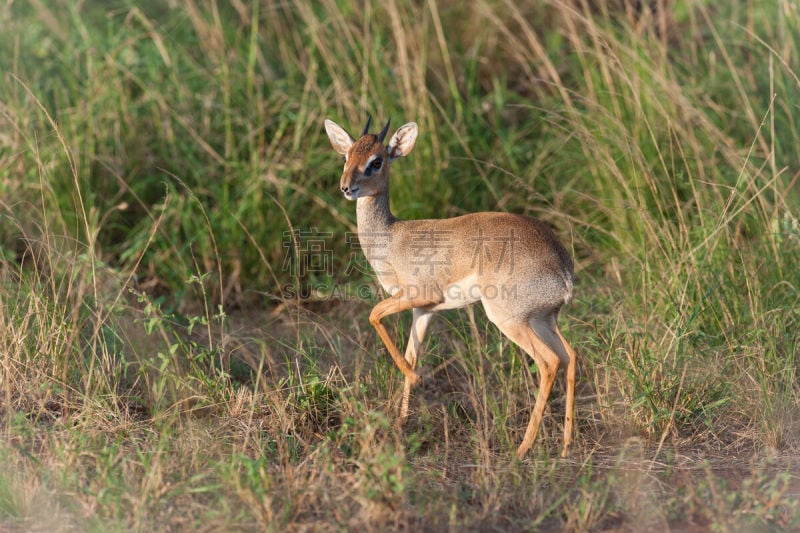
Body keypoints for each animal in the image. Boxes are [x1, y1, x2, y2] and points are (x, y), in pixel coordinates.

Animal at [326, 116, 580, 458]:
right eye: (347, 155)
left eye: (376, 161)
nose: (346, 187)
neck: (392, 239)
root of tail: (563, 268)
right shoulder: (424, 310)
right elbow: (411, 353)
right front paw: (401, 422)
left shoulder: (417, 295)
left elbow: (374, 315)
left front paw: (416, 380)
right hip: (543, 320)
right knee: (570, 356)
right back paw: (566, 445)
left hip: (508, 320)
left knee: (549, 362)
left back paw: (523, 448)